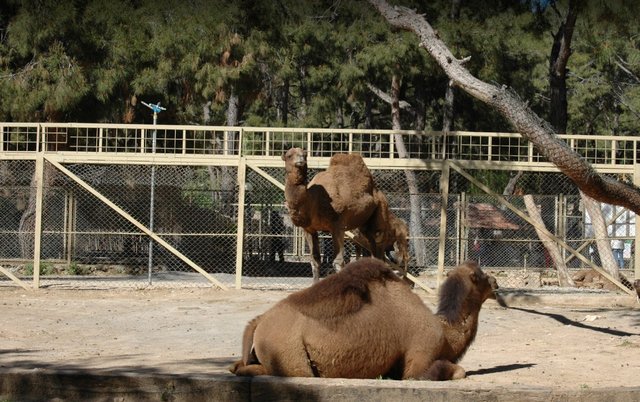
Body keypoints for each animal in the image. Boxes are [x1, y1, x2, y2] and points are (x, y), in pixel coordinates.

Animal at [230, 258, 500, 380]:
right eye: (480, 275)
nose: (496, 281)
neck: (444, 331)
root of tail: (259, 321)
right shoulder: (420, 357)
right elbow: (457, 371)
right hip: (290, 354)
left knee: (242, 366)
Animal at [282, 148, 382, 282]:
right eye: (289, 155)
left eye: (305, 154)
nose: (300, 160)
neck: (313, 200)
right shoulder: (308, 228)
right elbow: (315, 260)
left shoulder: (337, 225)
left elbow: (338, 262)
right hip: (362, 225)